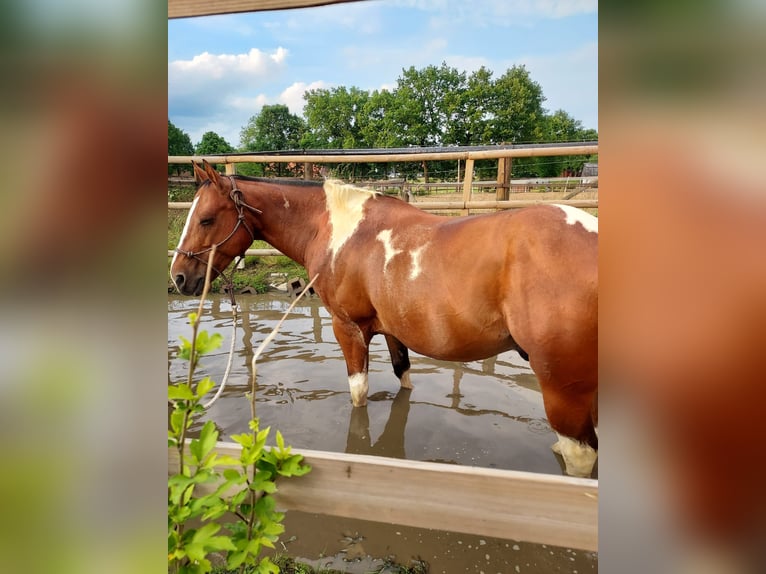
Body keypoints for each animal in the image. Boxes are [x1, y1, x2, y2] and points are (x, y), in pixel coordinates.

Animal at [172, 161, 600, 476]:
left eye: (206, 219)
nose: (178, 277)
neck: (337, 232)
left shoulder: (349, 329)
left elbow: (358, 393)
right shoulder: (395, 331)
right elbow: (403, 378)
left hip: (562, 387)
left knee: (581, 457)